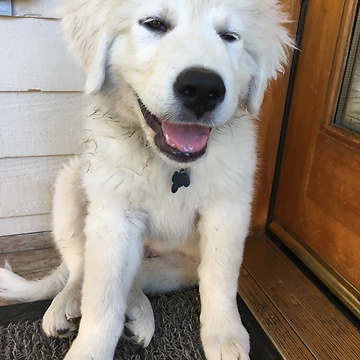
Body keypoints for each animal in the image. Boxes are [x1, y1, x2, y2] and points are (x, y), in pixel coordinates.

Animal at [0, 0, 292, 358]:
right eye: (154, 24)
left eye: (229, 36)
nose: (203, 89)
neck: (168, 164)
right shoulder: (113, 216)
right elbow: (102, 295)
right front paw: (90, 347)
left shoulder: (226, 210)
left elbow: (220, 278)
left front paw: (224, 336)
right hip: (71, 184)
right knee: (82, 266)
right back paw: (67, 304)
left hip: (178, 267)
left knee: (138, 276)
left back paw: (137, 311)